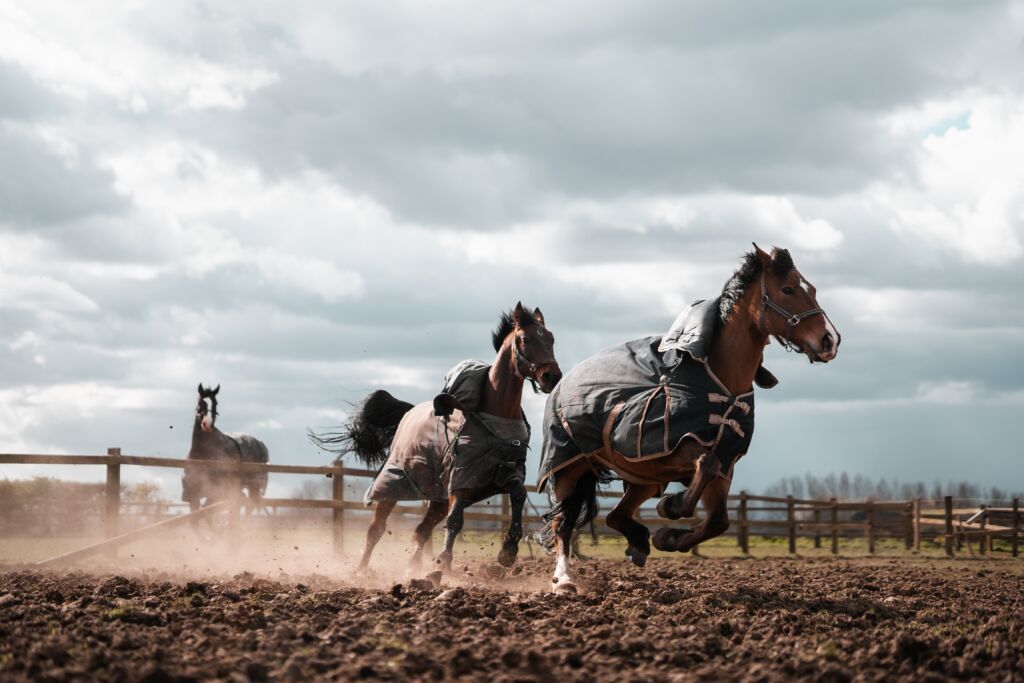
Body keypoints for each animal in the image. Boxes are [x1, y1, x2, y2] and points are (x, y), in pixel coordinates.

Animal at [182, 385, 268, 518]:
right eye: (200, 402)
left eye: (215, 403)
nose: (207, 424)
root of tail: (260, 443)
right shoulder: (193, 495)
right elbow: (197, 517)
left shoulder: (218, 493)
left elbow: (206, 513)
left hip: (253, 486)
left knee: (249, 505)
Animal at [311, 305, 561, 573]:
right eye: (525, 339)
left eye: (550, 338)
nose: (552, 376)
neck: (494, 417)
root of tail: (407, 413)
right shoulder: (460, 480)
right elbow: (455, 521)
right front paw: (444, 561)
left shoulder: (504, 474)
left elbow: (518, 495)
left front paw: (508, 551)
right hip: (392, 487)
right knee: (376, 530)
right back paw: (361, 571)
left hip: (437, 498)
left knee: (420, 531)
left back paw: (413, 567)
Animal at [536, 246, 839, 593]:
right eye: (788, 289)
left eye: (811, 289)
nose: (829, 340)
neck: (720, 380)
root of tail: (561, 384)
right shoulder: (675, 446)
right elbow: (703, 466)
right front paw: (672, 507)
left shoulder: (725, 464)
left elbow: (719, 520)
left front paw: (668, 537)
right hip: (569, 468)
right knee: (562, 524)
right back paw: (564, 580)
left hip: (644, 478)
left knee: (614, 517)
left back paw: (639, 542)